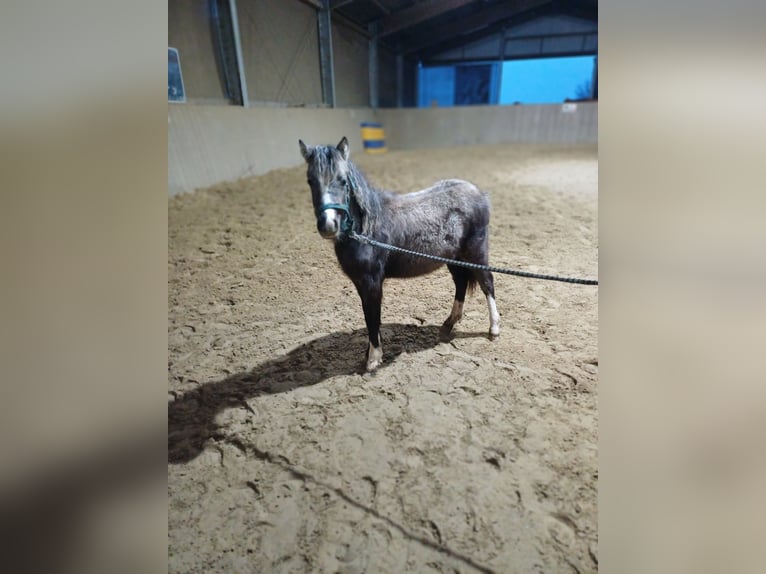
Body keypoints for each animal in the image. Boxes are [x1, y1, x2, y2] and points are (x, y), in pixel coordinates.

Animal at [299, 136, 500, 372]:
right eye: (310, 181)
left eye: (342, 180)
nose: (328, 225)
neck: (367, 229)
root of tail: (479, 193)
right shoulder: (360, 283)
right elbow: (369, 317)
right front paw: (368, 354)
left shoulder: (372, 282)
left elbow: (372, 318)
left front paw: (373, 359)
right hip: (454, 258)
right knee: (460, 283)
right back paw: (448, 324)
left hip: (476, 253)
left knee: (487, 283)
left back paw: (494, 329)